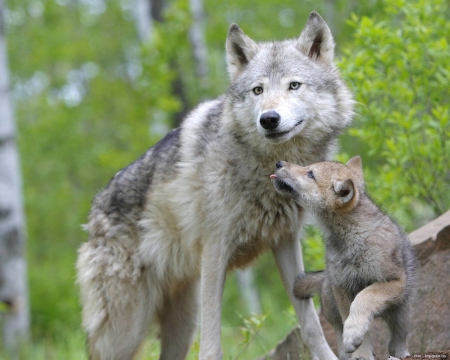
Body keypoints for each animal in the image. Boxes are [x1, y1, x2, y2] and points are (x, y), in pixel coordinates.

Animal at [75, 11, 354, 360]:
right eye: (258, 90)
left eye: (294, 85)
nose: (269, 119)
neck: (266, 169)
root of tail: (93, 212)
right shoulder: (215, 251)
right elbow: (211, 344)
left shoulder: (286, 242)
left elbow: (311, 326)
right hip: (126, 330)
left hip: (181, 321)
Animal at [268, 157, 416, 360]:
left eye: (310, 174)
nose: (279, 163)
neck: (351, 237)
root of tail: (325, 278)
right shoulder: (342, 287)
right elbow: (351, 318)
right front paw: (360, 352)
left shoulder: (393, 281)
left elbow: (364, 297)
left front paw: (354, 334)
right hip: (332, 304)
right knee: (339, 335)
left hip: (401, 314)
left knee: (397, 341)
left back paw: (400, 353)